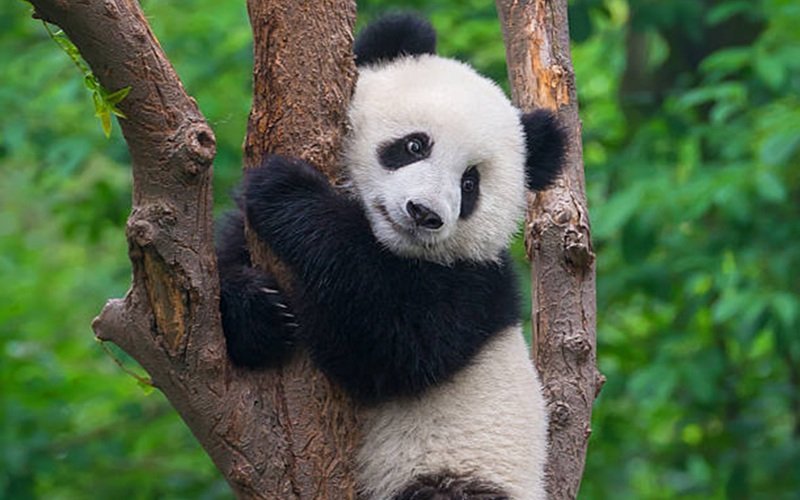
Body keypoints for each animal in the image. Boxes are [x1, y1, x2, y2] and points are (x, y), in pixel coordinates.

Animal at [216, 13, 566, 500]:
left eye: (469, 184)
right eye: (415, 145)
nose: (424, 213)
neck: (389, 246)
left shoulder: (475, 287)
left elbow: (391, 345)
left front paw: (287, 192)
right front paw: (258, 312)